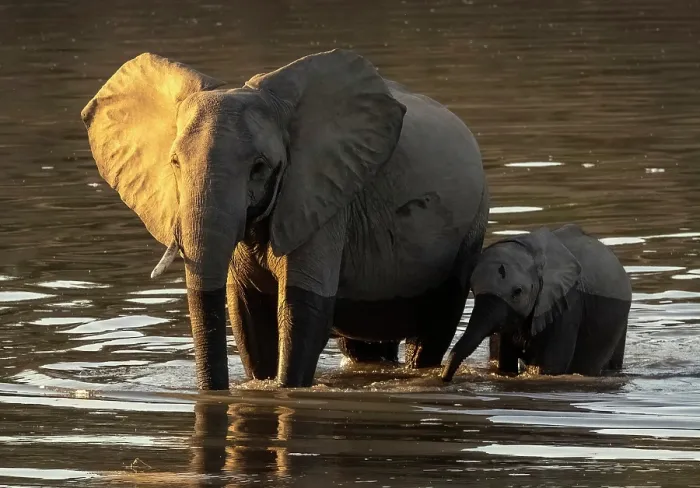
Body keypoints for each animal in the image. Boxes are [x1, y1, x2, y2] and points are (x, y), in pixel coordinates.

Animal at [81, 49, 488, 389]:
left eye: (260, 167)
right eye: (175, 163)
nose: (210, 393)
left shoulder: (323, 196)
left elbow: (303, 308)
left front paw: (285, 390)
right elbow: (248, 316)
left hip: (470, 228)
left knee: (433, 330)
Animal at [441, 224, 631, 381]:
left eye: (517, 292)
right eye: (472, 290)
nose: (445, 378)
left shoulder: (567, 304)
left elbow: (550, 366)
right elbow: (505, 361)